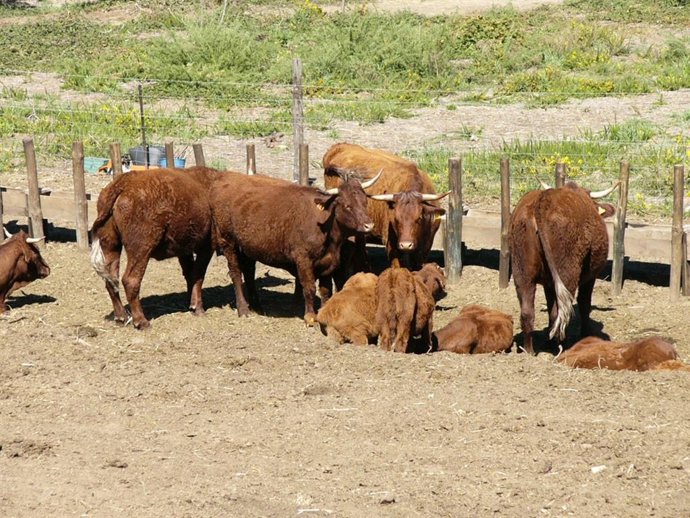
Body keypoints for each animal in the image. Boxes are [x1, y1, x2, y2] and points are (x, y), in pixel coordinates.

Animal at [90, 166, 222, 329]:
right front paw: (198, 308)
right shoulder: (207, 247)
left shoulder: (184, 250)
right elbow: (198, 276)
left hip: (111, 246)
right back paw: (141, 321)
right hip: (141, 249)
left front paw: (189, 303)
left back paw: (121, 317)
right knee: (130, 280)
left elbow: (189, 274)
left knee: (111, 280)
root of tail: (124, 182)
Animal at [210, 171, 379, 326]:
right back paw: (243, 309)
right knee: (236, 274)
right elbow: (309, 287)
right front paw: (310, 316)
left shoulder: (328, 262)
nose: (369, 225)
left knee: (249, 272)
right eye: (347, 206)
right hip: (228, 241)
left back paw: (257, 306)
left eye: (365, 202)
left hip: (247, 247)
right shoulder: (303, 259)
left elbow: (326, 290)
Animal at [323, 143, 448, 280]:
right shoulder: (392, 244)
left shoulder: (426, 244)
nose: (406, 245)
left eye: (419, 218)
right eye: (396, 219)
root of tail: (338, 147)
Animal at [509, 181, 618, 354]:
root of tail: (543, 201)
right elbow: (584, 304)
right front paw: (586, 335)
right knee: (559, 312)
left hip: (522, 273)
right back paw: (559, 346)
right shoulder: (590, 277)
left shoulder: (548, 283)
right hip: (567, 273)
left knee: (527, 312)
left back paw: (529, 350)